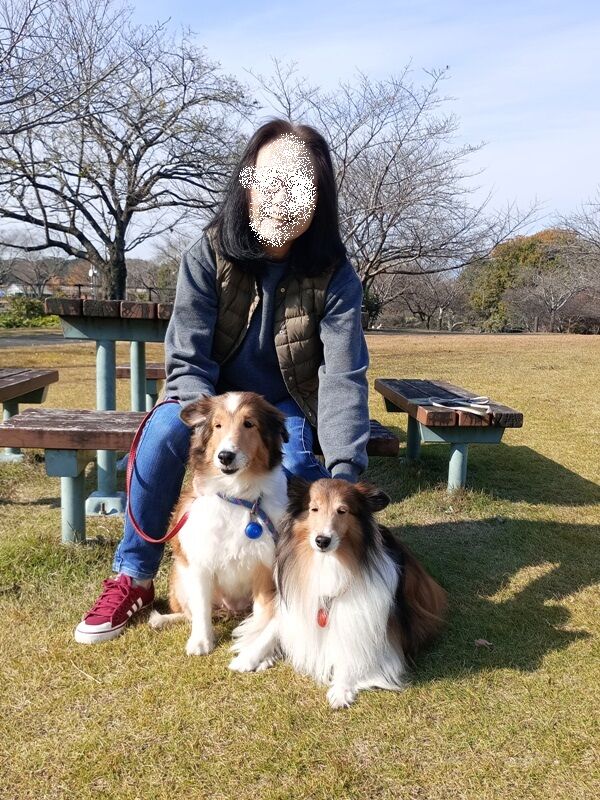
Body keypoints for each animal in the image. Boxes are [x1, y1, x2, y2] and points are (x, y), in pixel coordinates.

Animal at [148, 391, 289, 661]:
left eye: (249, 424)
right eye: (217, 426)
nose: (225, 456)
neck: (236, 495)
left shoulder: (264, 567)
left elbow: (263, 613)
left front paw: (255, 646)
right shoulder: (200, 563)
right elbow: (201, 609)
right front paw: (201, 642)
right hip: (180, 577)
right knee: (189, 612)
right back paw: (162, 620)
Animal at [231, 478, 447, 708]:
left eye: (342, 511)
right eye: (314, 509)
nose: (322, 541)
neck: (330, 562)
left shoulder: (370, 624)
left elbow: (353, 651)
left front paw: (342, 688)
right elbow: (272, 629)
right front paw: (248, 657)